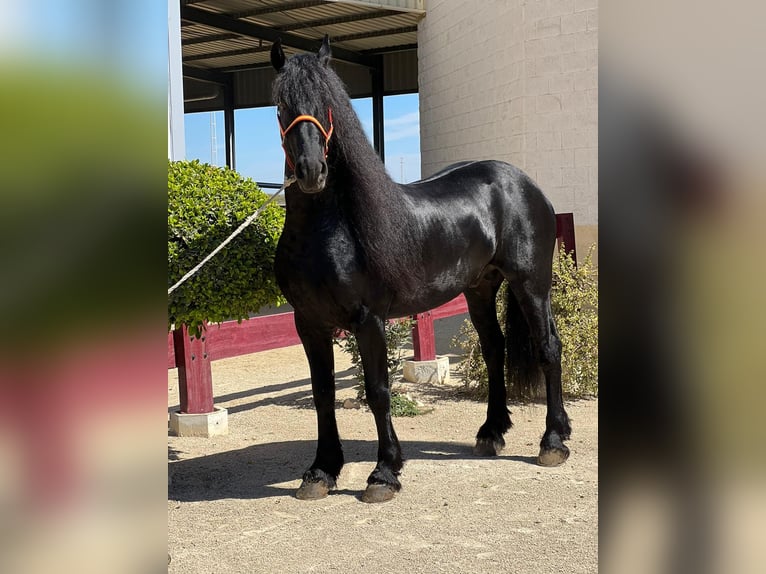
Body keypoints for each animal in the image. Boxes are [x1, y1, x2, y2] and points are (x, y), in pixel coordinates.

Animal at [270, 37, 568, 504]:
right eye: (282, 104)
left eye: (327, 103)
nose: (312, 171)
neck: (329, 230)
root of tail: (524, 182)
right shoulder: (309, 323)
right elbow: (322, 394)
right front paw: (321, 471)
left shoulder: (368, 320)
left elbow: (378, 391)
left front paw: (383, 473)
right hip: (479, 288)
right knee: (494, 348)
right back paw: (491, 432)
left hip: (531, 284)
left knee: (548, 347)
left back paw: (552, 442)